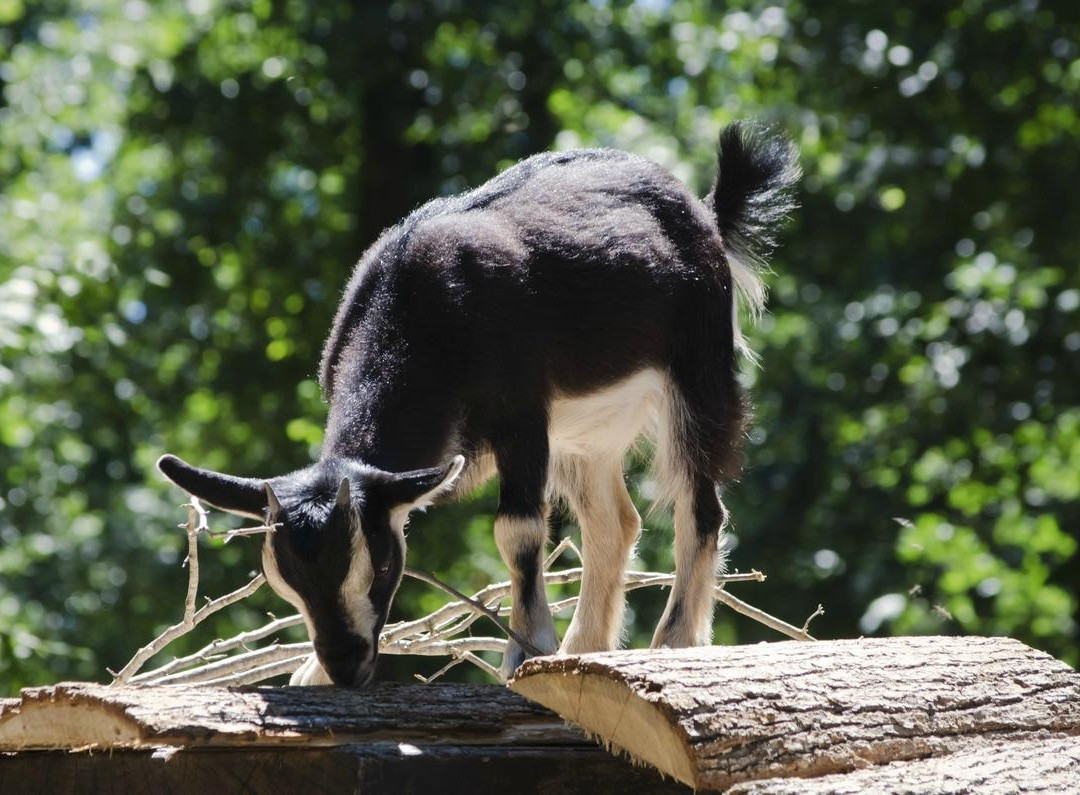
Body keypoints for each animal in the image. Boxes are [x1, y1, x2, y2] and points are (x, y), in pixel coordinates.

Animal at [156, 120, 799, 686]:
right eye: (285, 579)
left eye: (383, 564)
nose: (345, 666)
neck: (423, 310)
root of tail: (703, 210)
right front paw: (309, 675)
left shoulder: (522, 414)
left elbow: (517, 530)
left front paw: (524, 652)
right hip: (585, 432)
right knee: (615, 523)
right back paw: (584, 650)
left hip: (697, 370)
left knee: (700, 507)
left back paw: (672, 644)